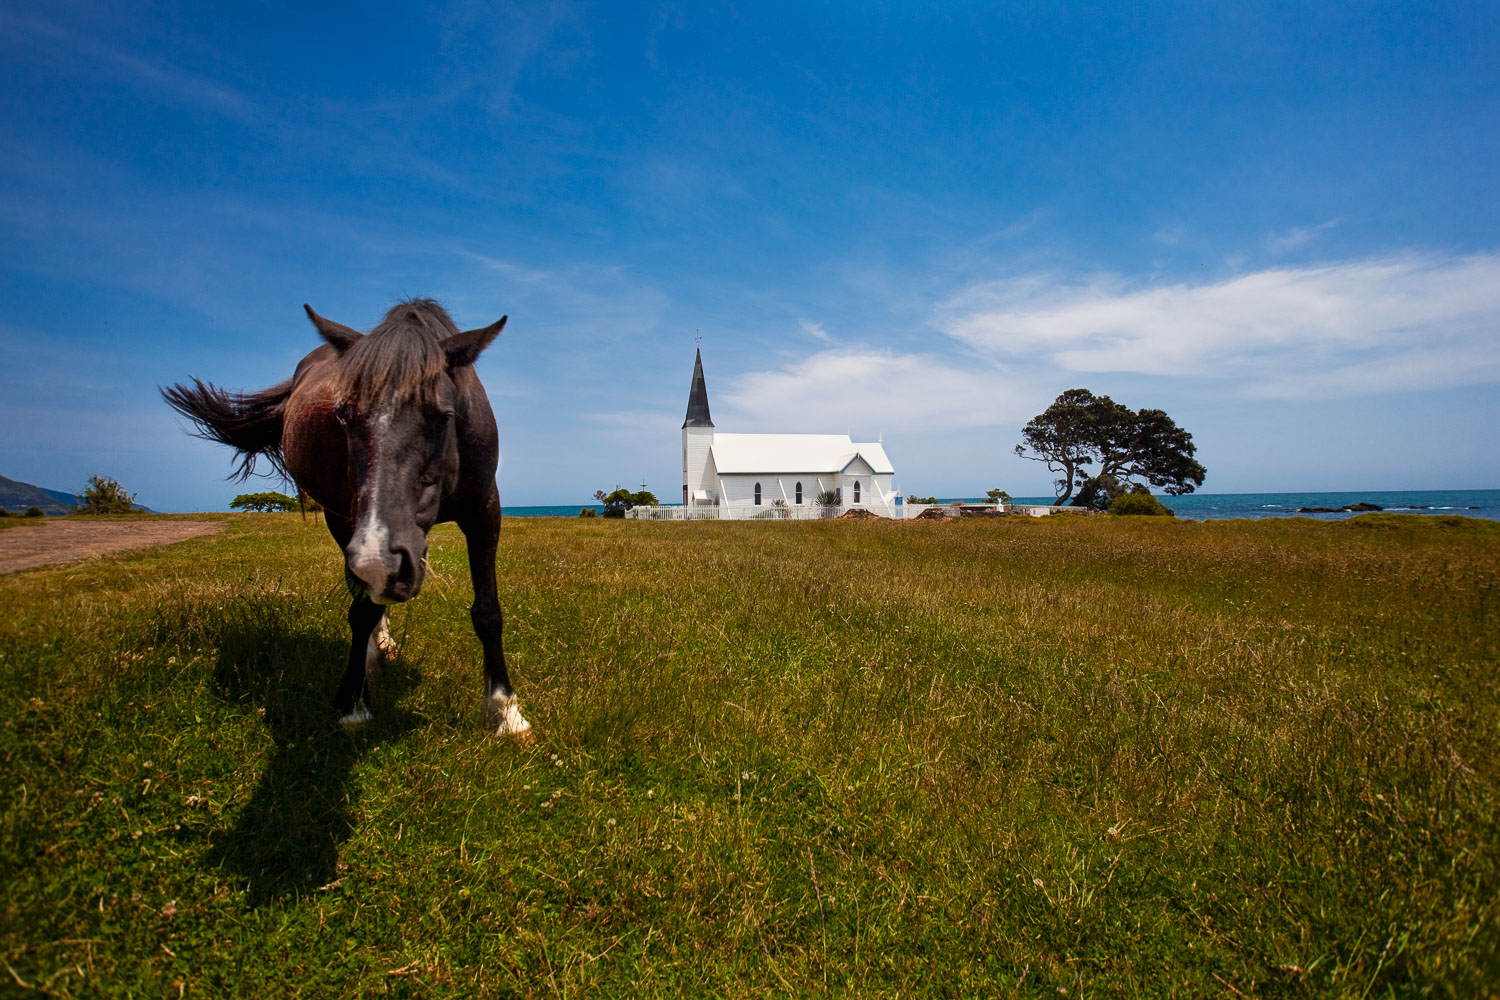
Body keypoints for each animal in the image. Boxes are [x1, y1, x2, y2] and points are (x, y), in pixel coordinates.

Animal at [162, 298, 531, 738]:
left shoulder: (484, 513)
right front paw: (353, 702)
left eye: (444, 416)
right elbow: (362, 611)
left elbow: (488, 611)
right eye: (343, 416)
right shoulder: (351, 522)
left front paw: (505, 710)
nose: (383, 563)